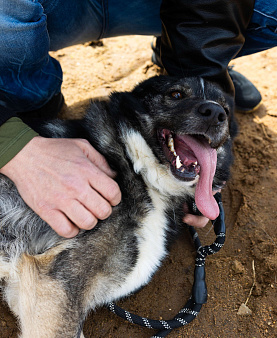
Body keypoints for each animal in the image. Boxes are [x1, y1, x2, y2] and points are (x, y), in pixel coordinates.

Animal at [0, 75, 237, 336]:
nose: (215, 113)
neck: (141, 173)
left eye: (225, 110)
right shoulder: (55, 285)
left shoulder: (30, 287)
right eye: (175, 95)